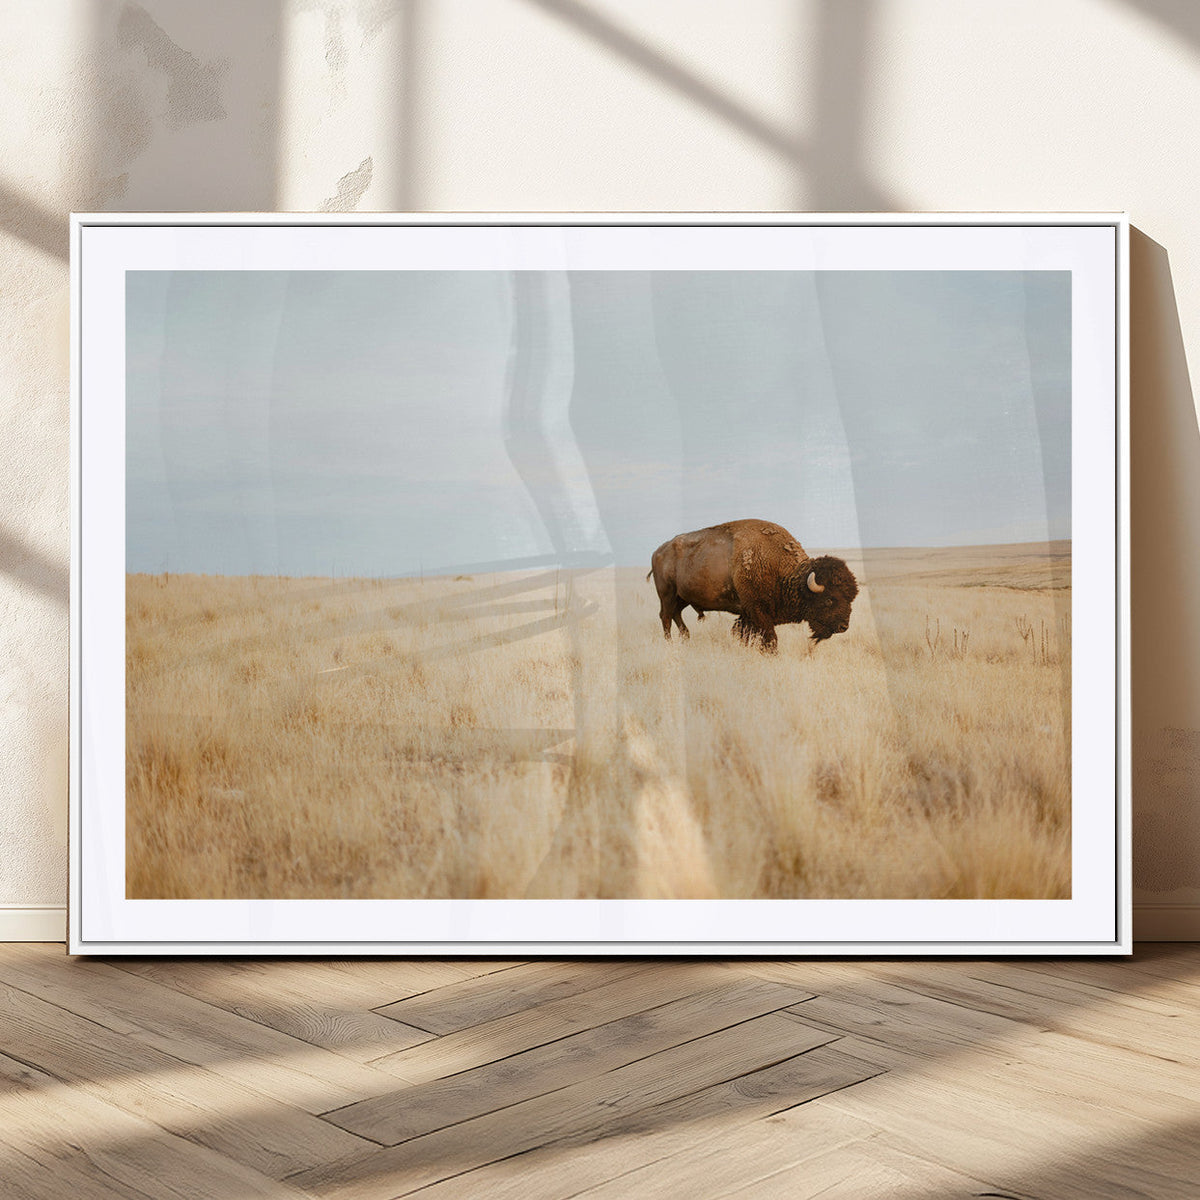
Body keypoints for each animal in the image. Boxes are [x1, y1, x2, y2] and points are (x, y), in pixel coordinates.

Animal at [648, 519, 858, 652]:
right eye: (829, 599)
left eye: (851, 598)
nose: (843, 626)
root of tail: (658, 551)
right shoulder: (758, 611)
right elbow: (770, 639)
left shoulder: (748, 615)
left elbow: (744, 635)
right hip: (667, 594)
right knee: (666, 617)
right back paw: (670, 643)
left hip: (682, 597)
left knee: (676, 615)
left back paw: (686, 639)